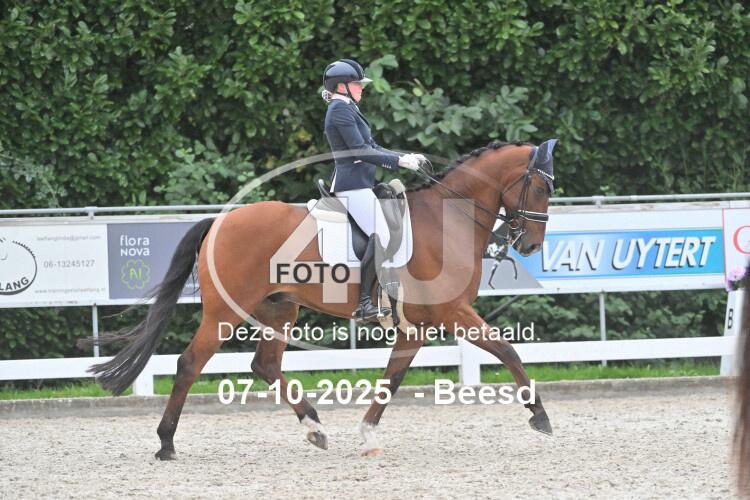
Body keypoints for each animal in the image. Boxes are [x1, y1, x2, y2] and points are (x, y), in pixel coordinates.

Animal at [88, 140, 555, 459]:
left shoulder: (416, 326)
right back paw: (166, 442)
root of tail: (220, 221)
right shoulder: (453, 312)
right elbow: (507, 350)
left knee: (265, 365)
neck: (449, 220)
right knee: (190, 363)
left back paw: (313, 427)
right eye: (540, 189)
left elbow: (392, 379)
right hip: (225, 312)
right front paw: (540, 417)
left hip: (279, 307)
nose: (530, 245)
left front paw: (367, 433)